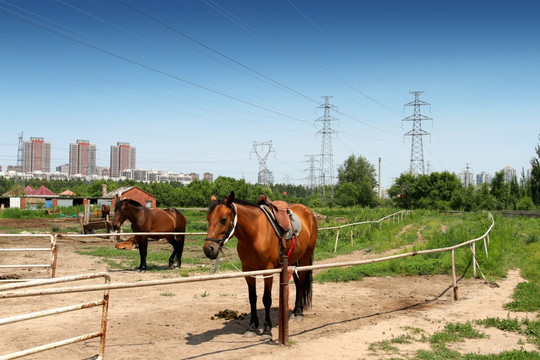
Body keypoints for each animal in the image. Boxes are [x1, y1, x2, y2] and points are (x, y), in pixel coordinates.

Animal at [205, 191, 318, 340]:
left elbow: (266, 299)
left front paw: (267, 330)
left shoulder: (268, 271)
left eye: (223, 219)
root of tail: (309, 212)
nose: (208, 249)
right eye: (208, 219)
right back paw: (294, 310)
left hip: (305, 257)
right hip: (293, 259)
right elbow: (252, 298)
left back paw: (298, 312)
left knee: (301, 283)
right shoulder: (247, 271)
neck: (255, 234)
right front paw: (252, 327)